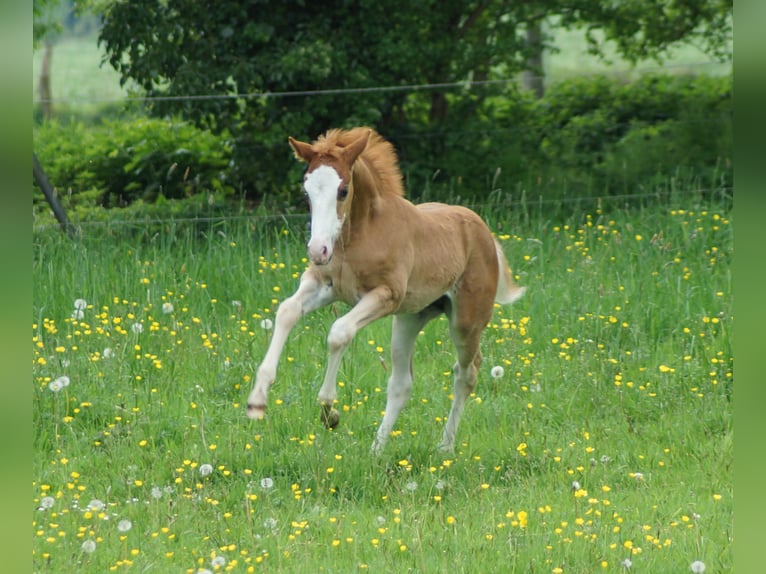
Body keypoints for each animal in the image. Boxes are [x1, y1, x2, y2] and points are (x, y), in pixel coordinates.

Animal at [246, 127, 525, 453]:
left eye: (343, 191)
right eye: (306, 193)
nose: (317, 250)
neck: (359, 234)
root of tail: (485, 233)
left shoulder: (385, 295)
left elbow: (339, 332)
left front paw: (329, 411)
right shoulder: (323, 284)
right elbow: (287, 310)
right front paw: (257, 401)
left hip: (466, 321)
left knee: (467, 373)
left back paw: (444, 447)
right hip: (409, 319)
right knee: (402, 383)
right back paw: (376, 451)